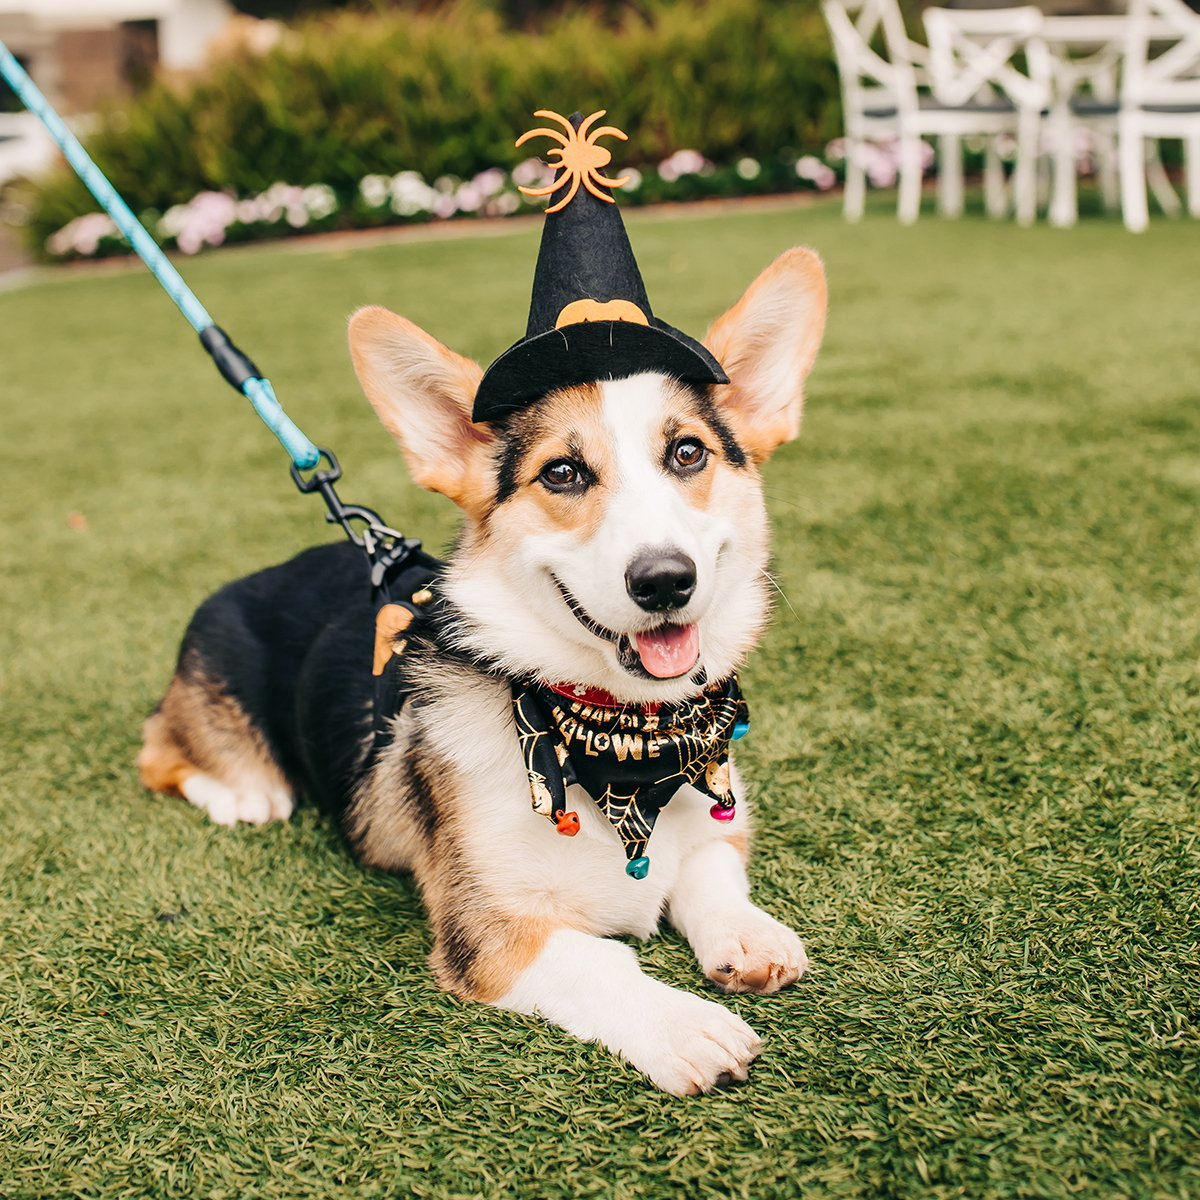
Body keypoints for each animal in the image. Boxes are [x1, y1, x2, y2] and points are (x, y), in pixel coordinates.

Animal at [133, 246, 825, 1099]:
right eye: (562, 474)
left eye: (687, 452)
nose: (665, 580)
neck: (620, 743)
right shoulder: (489, 929)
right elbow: (603, 962)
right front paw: (687, 1027)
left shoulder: (710, 829)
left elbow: (712, 875)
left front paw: (751, 938)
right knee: (159, 749)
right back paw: (243, 796)